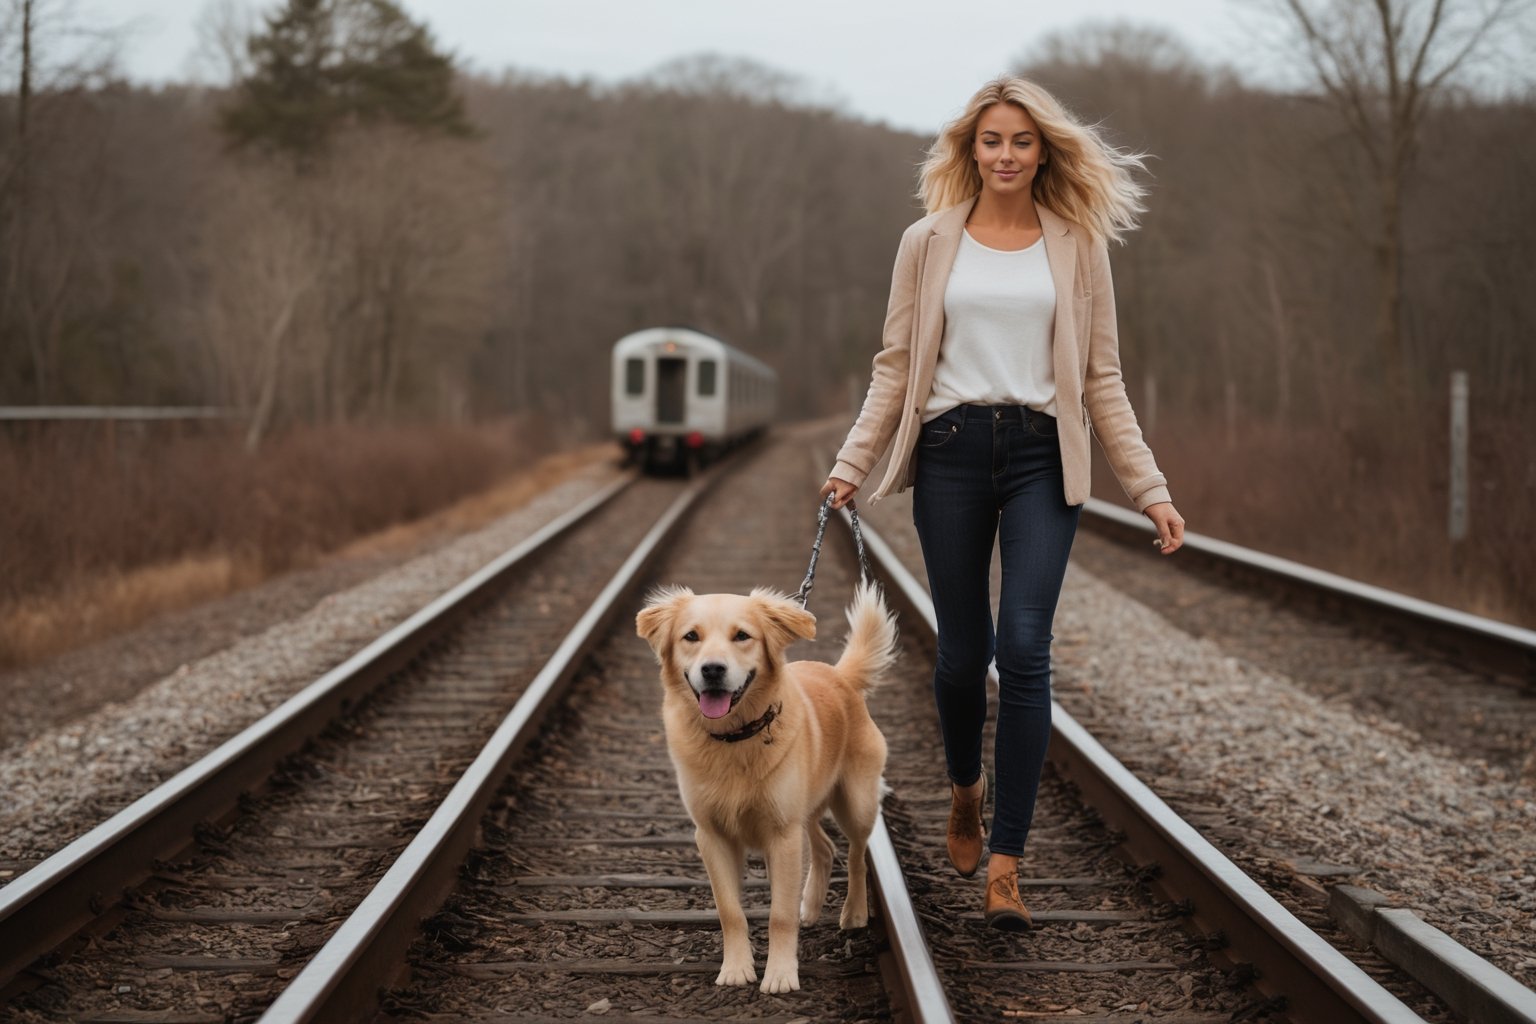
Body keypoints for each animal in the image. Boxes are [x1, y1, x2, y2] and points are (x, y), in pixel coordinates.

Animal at [635, 583, 897, 994]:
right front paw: (736, 969)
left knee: (856, 854)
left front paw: (780, 975)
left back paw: (853, 912)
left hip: (855, 802)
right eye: (691, 636)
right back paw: (811, 906)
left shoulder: (783, 834)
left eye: (742, 636)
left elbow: (779, 914)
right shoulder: (711, 835)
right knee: (825, 848)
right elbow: (730, 911)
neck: (734, 737)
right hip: (807, 809)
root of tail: (840, 675)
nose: (713, 669)